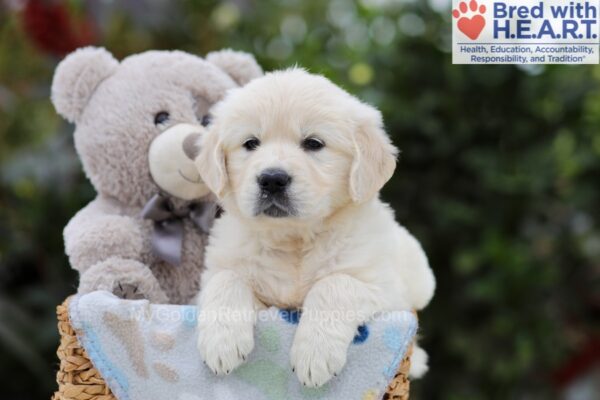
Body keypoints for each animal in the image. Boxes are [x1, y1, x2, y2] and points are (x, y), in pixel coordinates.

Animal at [195, 69, 434, 388]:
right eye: (250, 143)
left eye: (313, 144)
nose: (272, 179)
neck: (293, 239)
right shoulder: (216, 278)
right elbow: (226, 279)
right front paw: (221, 343)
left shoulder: (385, 290)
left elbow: (334, 284)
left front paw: (315, 356)